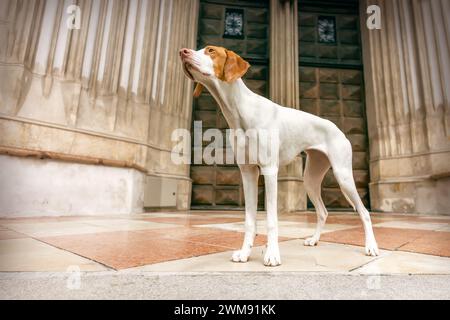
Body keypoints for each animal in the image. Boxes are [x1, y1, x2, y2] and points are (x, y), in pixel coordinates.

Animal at [180, 44, 380, 264]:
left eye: (211, 50)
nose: (182, 52)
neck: (240, 111)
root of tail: (338, 129)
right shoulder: (248, 173)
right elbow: (249, 220)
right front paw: (245, 252)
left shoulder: (269, 171)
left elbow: (271, 219)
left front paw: (272, 254)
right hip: (310, 180)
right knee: (323, 212)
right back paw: (314, 239)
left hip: (343, 176)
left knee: (364, 212)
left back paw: (371, 246)